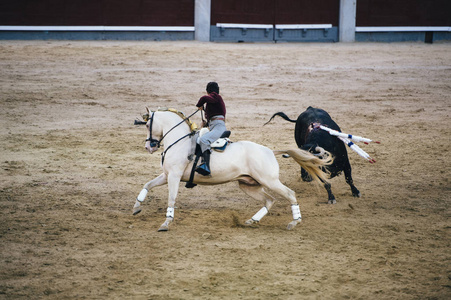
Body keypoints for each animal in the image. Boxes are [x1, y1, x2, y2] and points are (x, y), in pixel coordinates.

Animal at [132, 108, 330, 232]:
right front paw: (136, 207)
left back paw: (294, 222)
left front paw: (166, 223)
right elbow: (147, 185)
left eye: (148, 125)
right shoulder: (167, 175)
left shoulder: (174, 176)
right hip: (248, 185)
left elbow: (171, 199)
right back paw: (252, 220)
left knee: (289, 194)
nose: (148, 147)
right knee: (269, 200)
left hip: (270, 181)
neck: (180, 141)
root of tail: (270, 151)